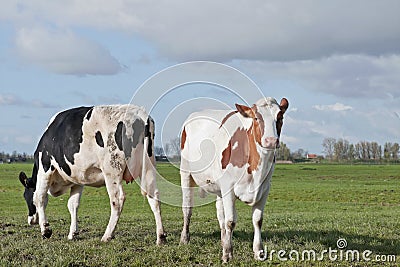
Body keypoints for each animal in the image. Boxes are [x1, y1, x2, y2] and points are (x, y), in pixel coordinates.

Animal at [18, 105, 166, 245]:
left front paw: (46, 230)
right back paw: (161, 237)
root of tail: (141, 115)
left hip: (112, 170)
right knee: (154, 196)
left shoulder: (45, 169)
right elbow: (73, 204)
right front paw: (73, 234)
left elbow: (40, 198)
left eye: (25, 196)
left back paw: (107, 236)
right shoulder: (78, 180)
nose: (31, 221)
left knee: (117, 200)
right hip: (148, 167)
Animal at [180, 97, 288, 262]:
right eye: (256, 118)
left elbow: (257, 220)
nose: (270, 141)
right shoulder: (228, 188)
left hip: (219, 187)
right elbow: (231, 221)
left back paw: (223, 240)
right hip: (186, 173)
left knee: (220, 214)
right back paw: (185, 238)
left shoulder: (264, 189)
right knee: (187, 208)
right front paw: (228, 253)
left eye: (280, 117)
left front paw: (258, 251)